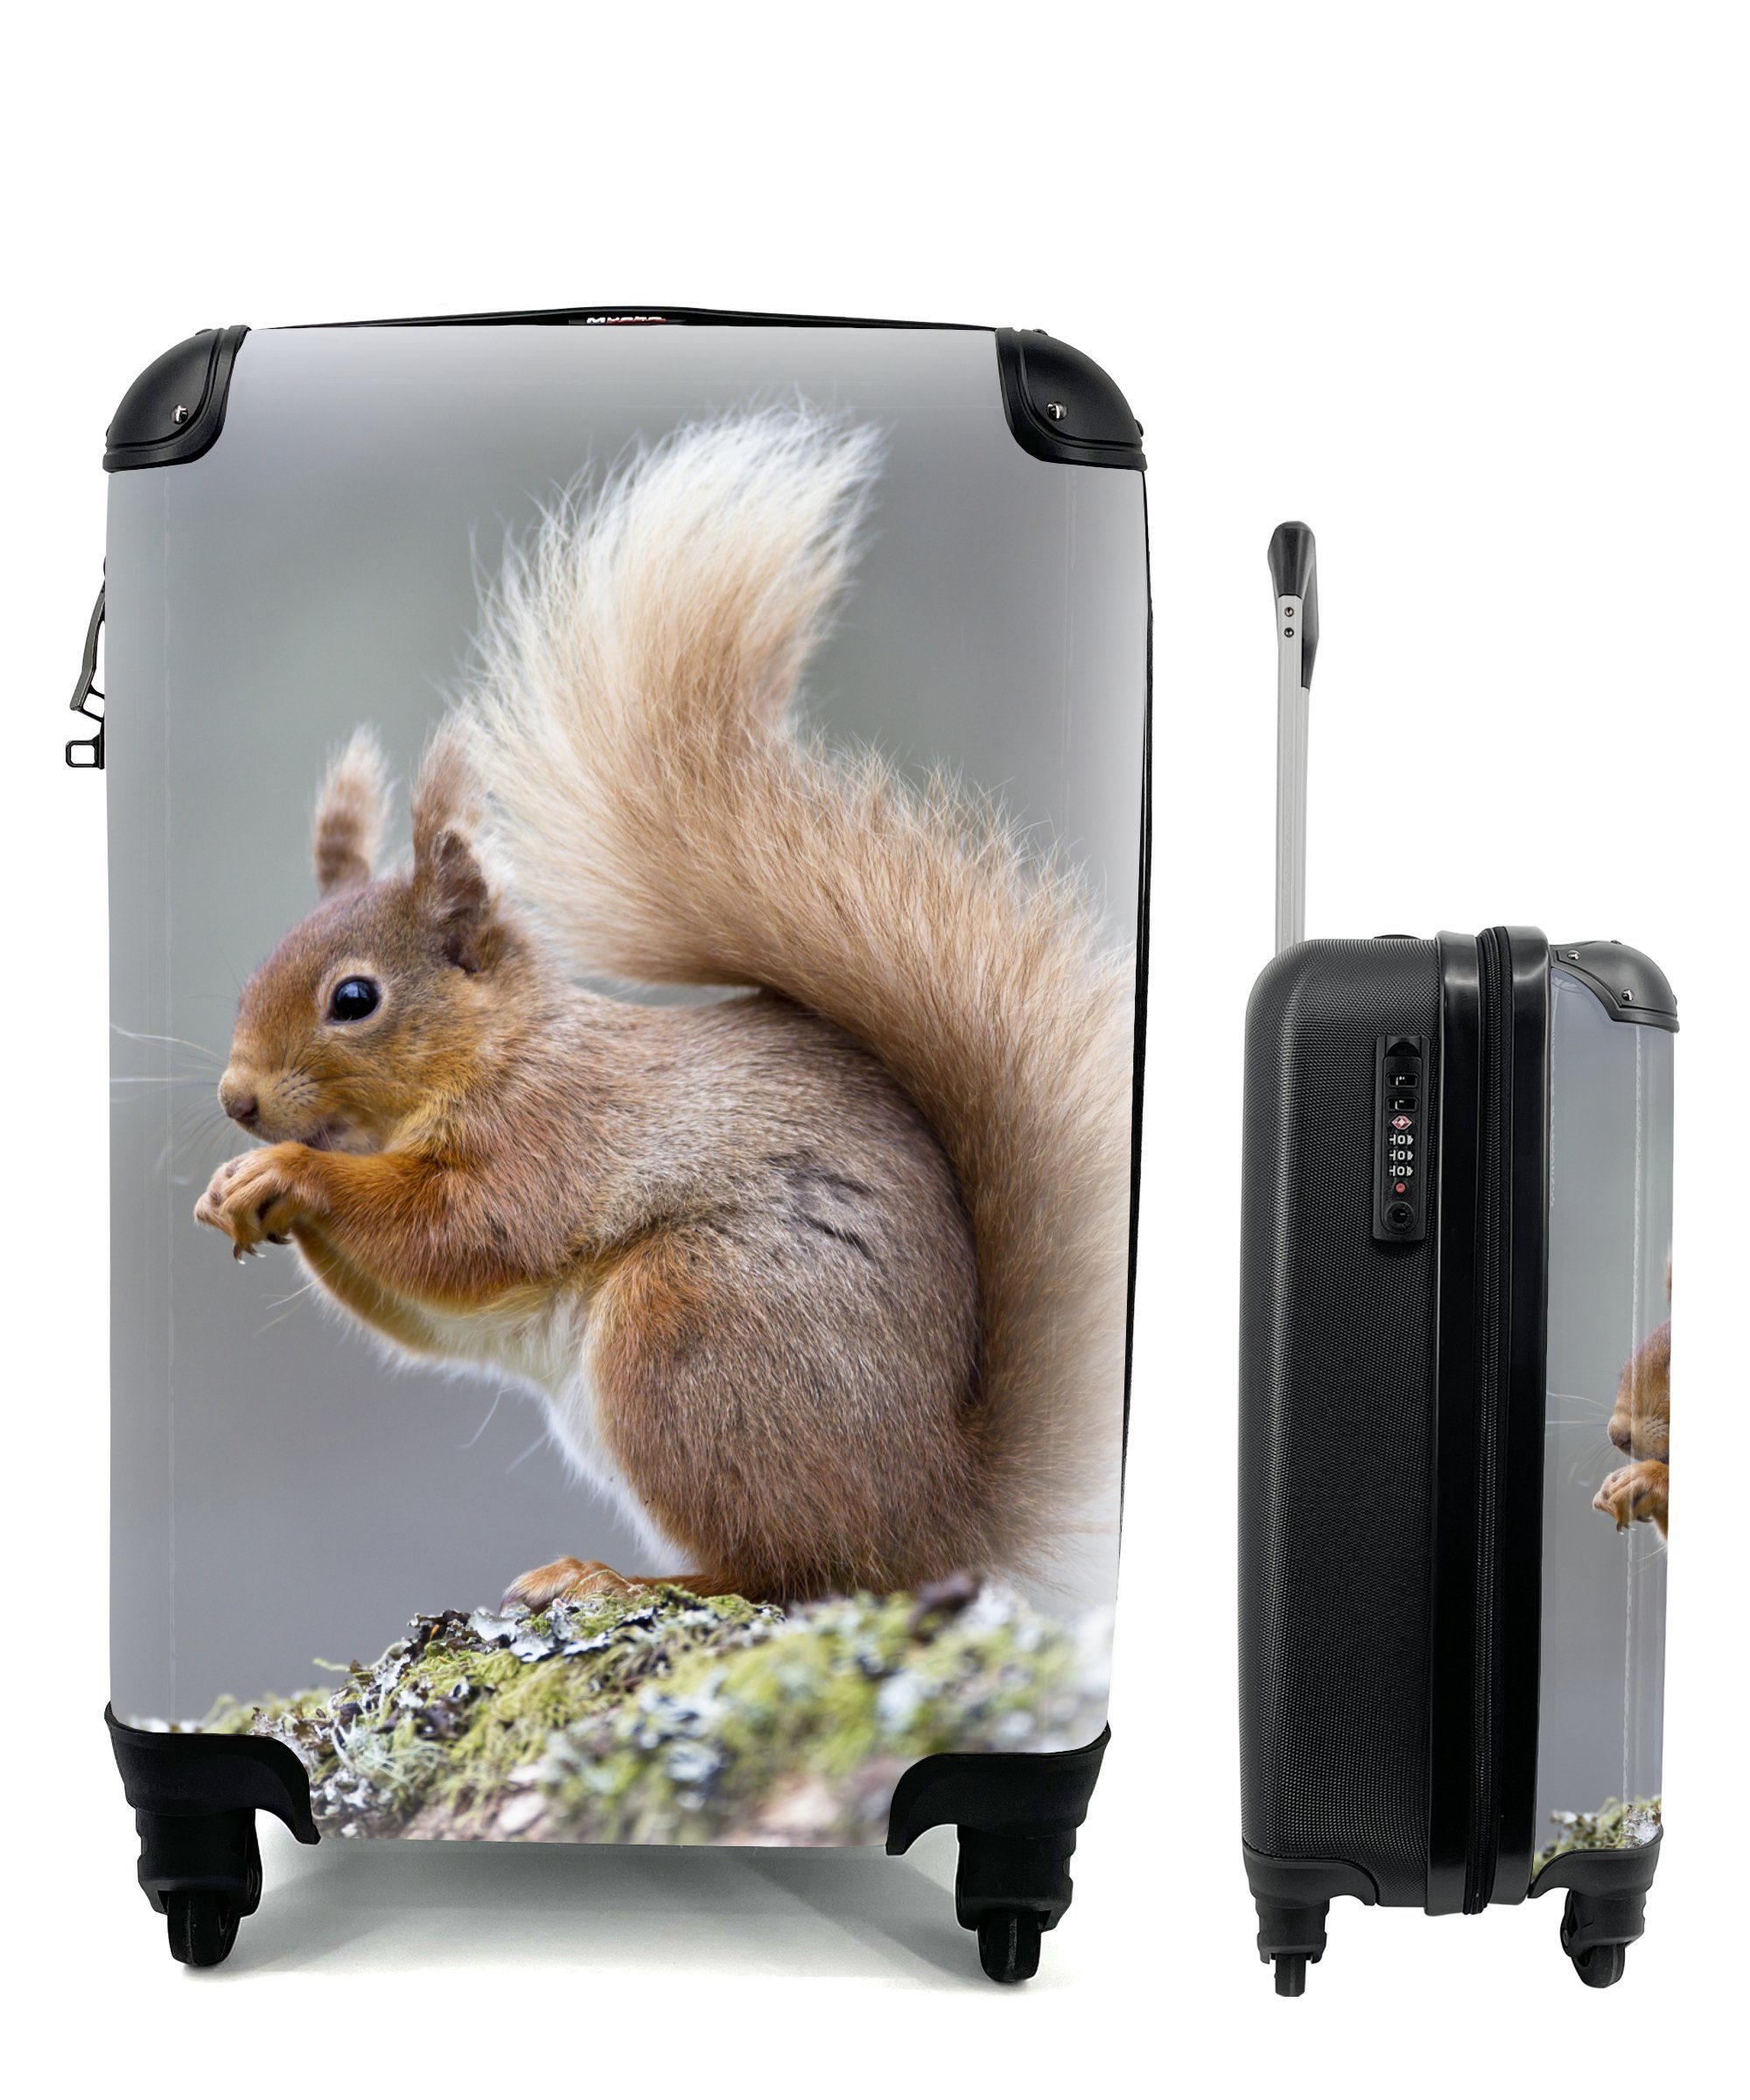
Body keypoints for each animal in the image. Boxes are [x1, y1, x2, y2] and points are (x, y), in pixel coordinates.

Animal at [195, 409, 1134, 1608]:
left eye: (353, 999)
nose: (238, 1102)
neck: (499, 1053)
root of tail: (931, 1513)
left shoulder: (553, 1136)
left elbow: (463, 1232)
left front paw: (289, 1173)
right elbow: (419, 1315)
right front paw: (235, 1190)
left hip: (690, 1331)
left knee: (780, 1569)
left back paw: (614, 1577)